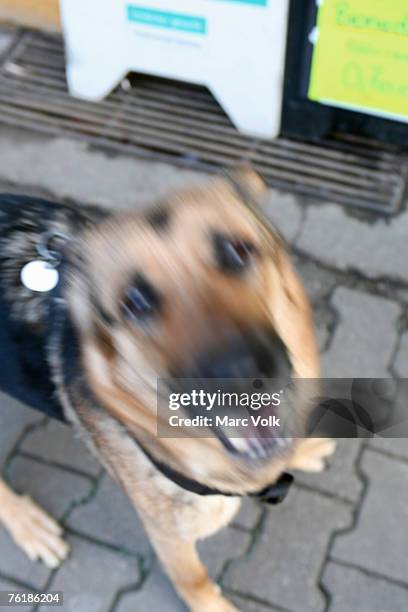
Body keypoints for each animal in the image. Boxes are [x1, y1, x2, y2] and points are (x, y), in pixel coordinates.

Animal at [0, 171, 334, 612]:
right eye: (134, 301)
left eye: (238, 252)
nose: (241, 374)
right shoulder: (169, 536)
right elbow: (193, 580)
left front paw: (306, 450)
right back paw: (28, 526)